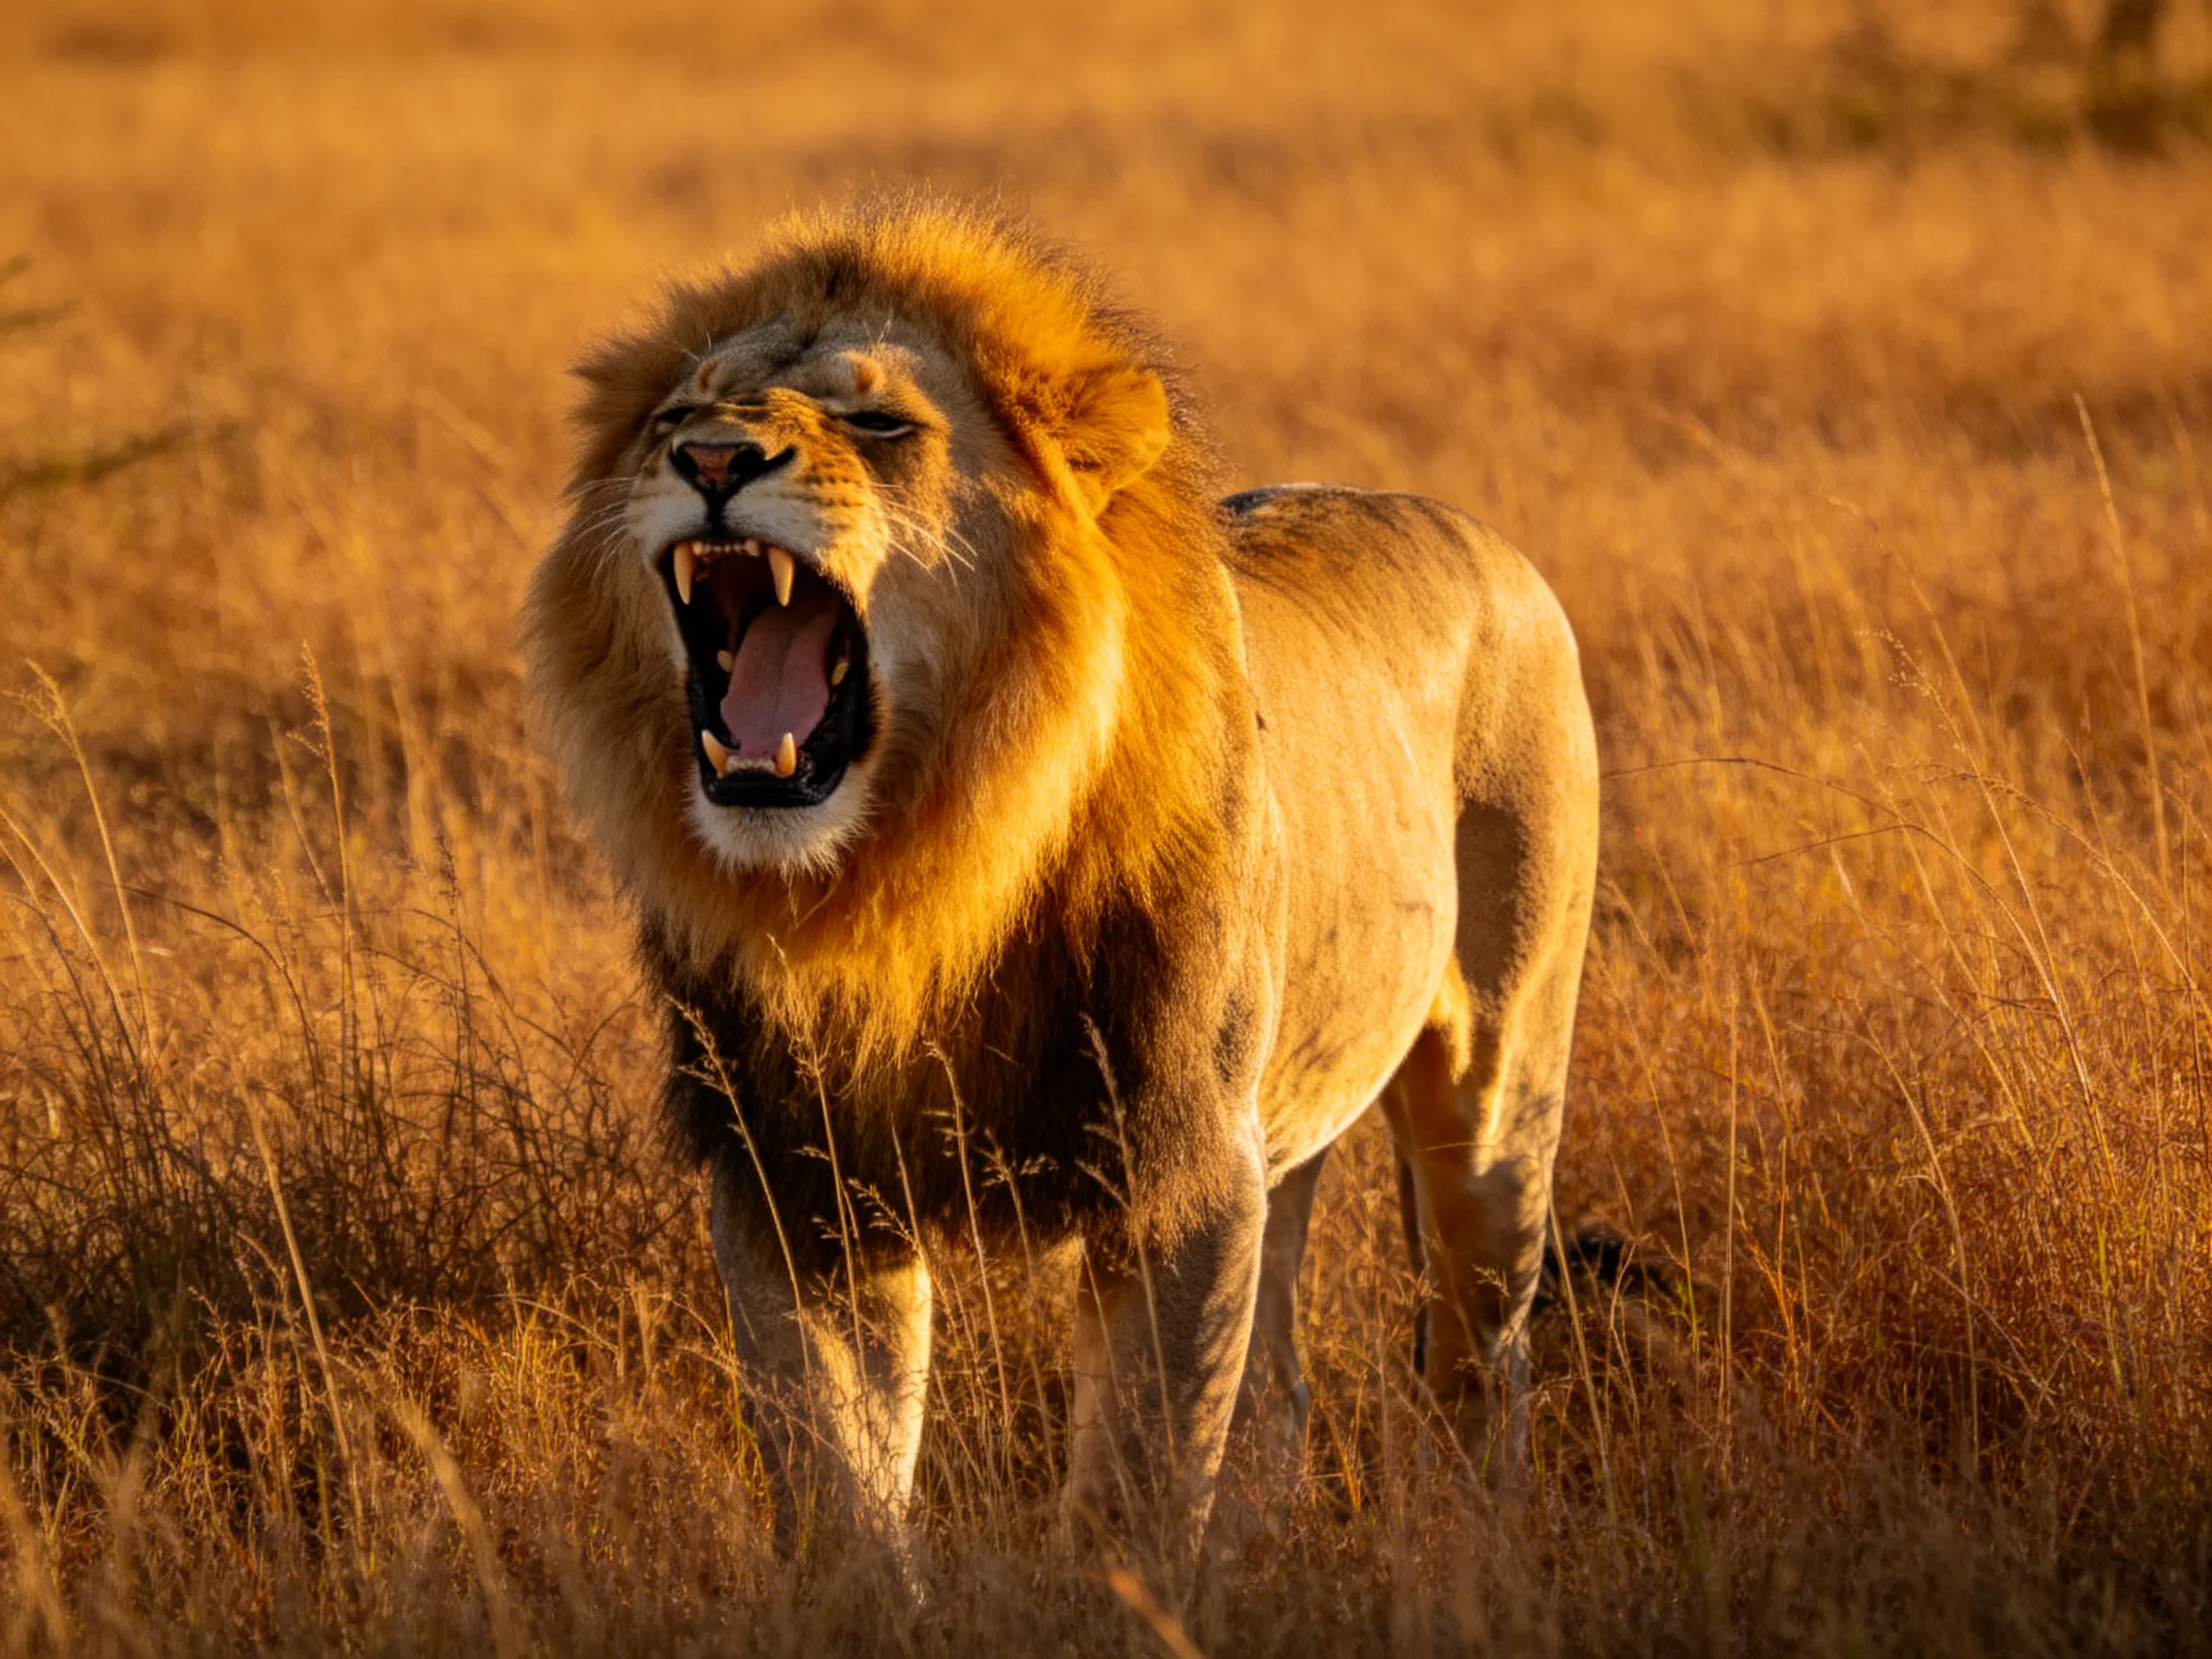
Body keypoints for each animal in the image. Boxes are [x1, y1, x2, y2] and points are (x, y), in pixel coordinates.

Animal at [524, 201, 1599, 1574]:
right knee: (1280, 1382)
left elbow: (1138, 1486)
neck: (907, 881)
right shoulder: (795, 1181)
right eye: (677, 413)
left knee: (1478, 1355)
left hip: (1497, 1093)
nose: (712, 456)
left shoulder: (1181, 1164)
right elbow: (837, 1484)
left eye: (881, 425)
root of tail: (1481, 536)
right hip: (1287, 1121)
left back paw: (1474, 1547)